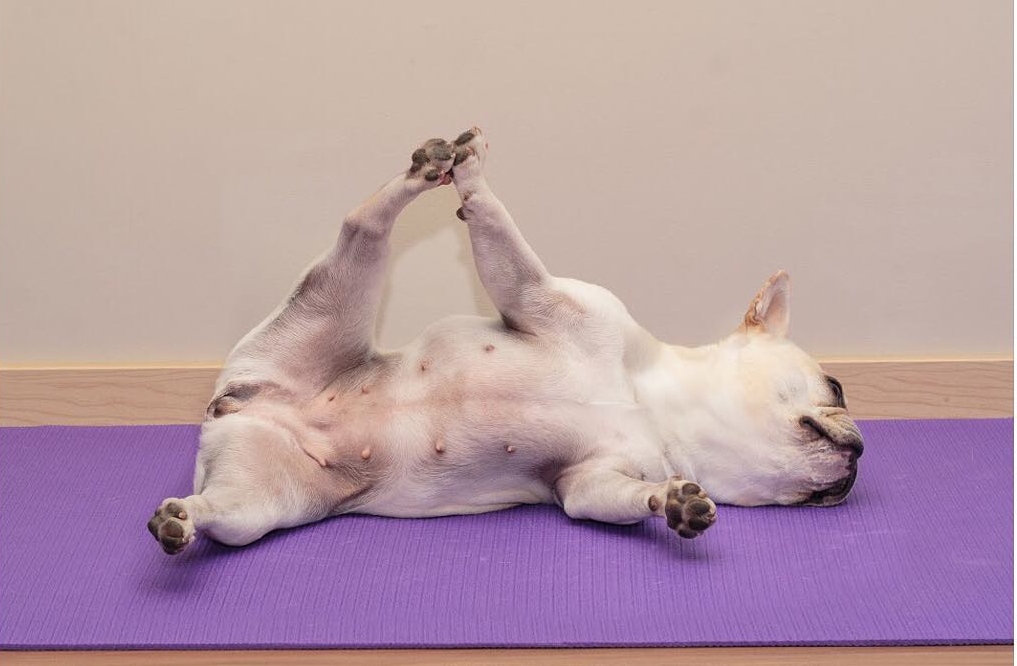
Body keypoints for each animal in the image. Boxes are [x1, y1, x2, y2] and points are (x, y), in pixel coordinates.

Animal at [148, 128, 863, 554]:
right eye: (836, 388)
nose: (859, 455)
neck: (654, 406)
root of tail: (230, 408)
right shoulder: (546, 300)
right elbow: (504, 242)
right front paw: (477, 189)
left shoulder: (588, 480)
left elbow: (615, 499)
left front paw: (674, 505)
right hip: (327, 307)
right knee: (362, 226)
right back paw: (428, 172)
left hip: (268, 498)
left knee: (227, 514)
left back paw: (183, 519)